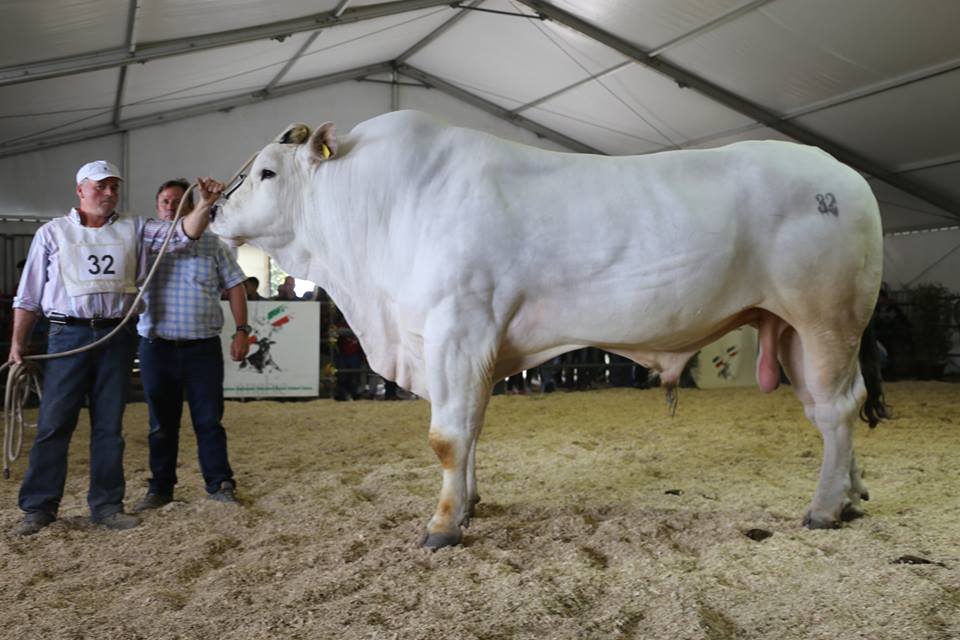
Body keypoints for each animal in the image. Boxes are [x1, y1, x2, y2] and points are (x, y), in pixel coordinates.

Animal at [209, 110, 887, 550]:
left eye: (266, 172)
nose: (211, 208)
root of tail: (846, 175)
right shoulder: (461, 347)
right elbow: (472, 432)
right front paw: (470, 504)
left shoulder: (458, 329)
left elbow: (448, 437)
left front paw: (442, 526)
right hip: (792, 329)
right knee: (835, 409)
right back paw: (852, 494)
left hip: (825, 317)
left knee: (837, 408)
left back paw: (823, 509)